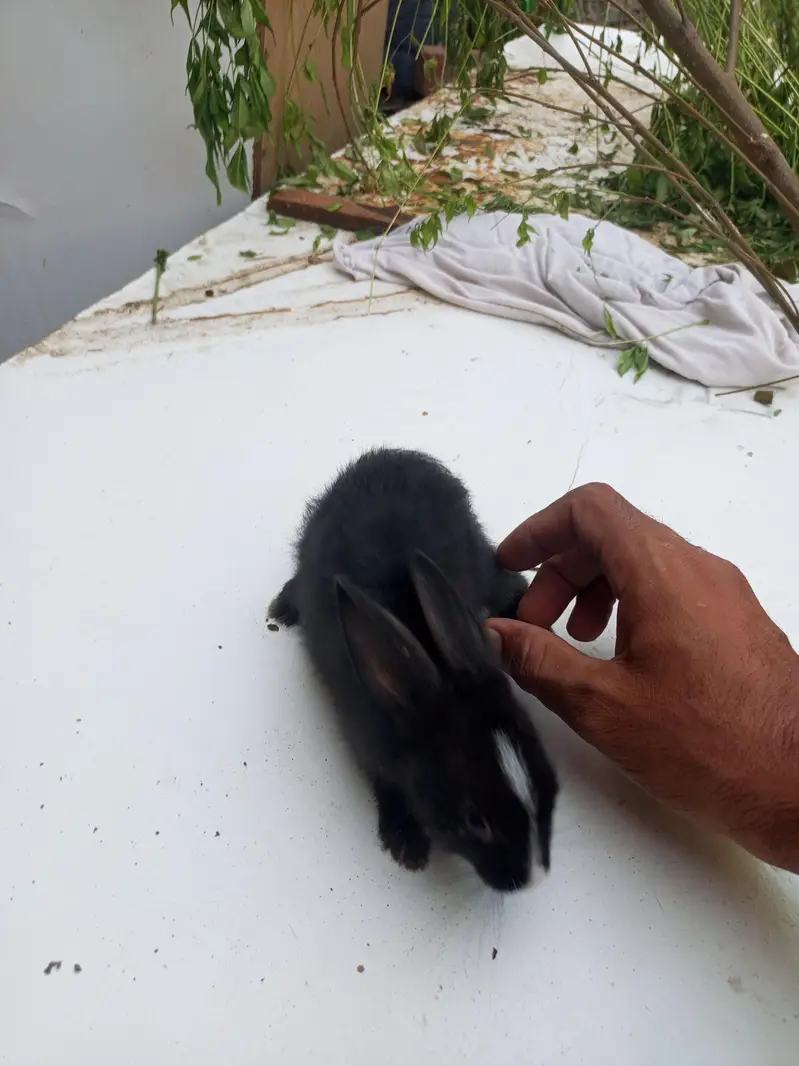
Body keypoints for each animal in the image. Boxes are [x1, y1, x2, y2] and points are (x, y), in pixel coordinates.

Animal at [269, 448, 558, 892]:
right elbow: (386, 787)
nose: (534, 879)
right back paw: (283, 608)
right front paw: (407, 845)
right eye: (475, 821)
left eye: (549, 782)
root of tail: (392, 456)